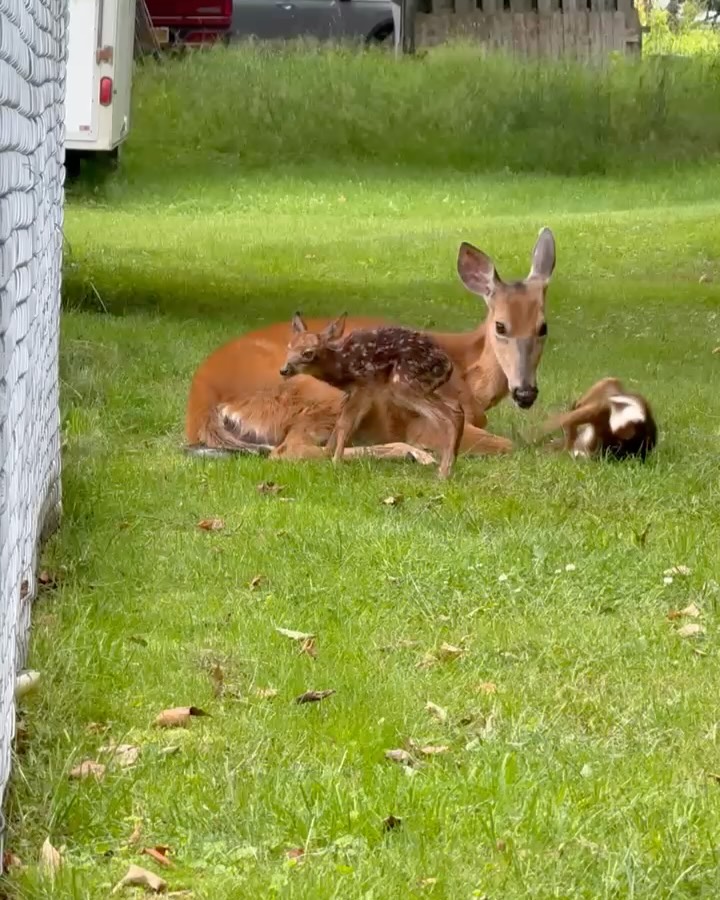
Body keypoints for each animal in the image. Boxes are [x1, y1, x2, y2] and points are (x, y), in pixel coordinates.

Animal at [279, 313, 465, 479]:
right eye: (289, 346)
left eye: (308, 353)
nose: (284, 370)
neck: (342, 366)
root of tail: (447, 364)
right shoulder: (356, 392)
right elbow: (340, 422)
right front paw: (327, 454)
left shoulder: (364, 386)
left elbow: (346, 423)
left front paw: (336, 462)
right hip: (422, 387)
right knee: (456, 406)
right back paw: (450, 466)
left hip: (402, 383)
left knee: (449, 415)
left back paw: (443, 473)